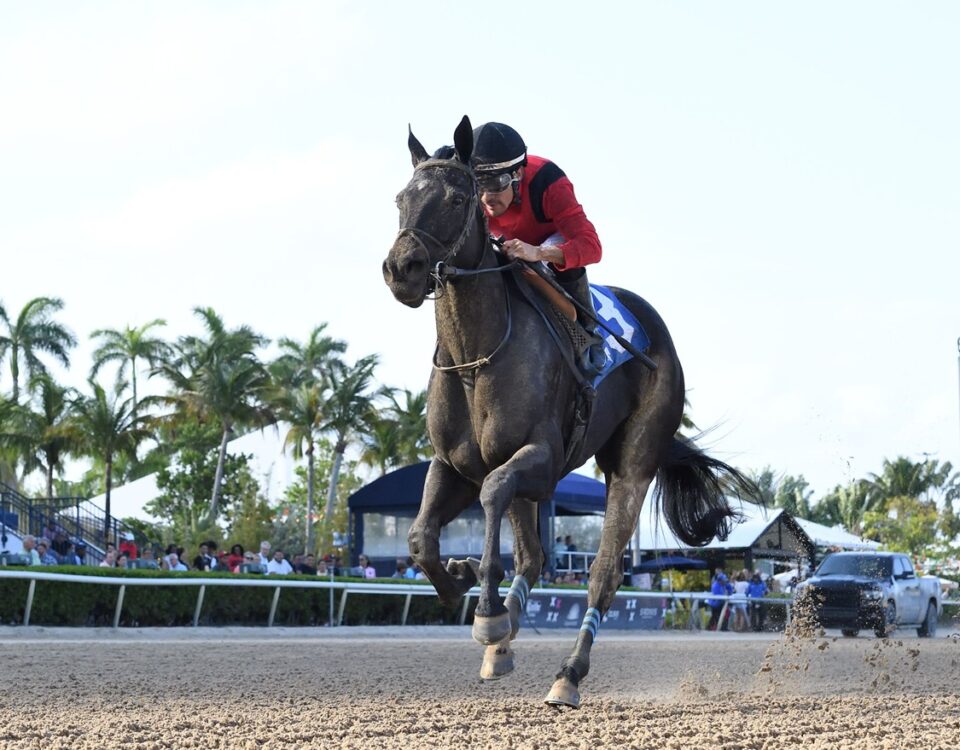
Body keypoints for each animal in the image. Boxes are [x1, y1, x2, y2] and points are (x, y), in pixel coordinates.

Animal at [382, 114, 756, 708]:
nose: (402, 269)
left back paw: (566, 672)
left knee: (603, 573)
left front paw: (486, 611)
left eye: (458, 197)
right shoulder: (455, 465)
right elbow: (421, 539)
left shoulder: (540, 457)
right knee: (533, 555)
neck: (475, 359)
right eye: (401, 197)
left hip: (632, 463)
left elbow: (493, 500)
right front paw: (464, 583)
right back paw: (506, 636)